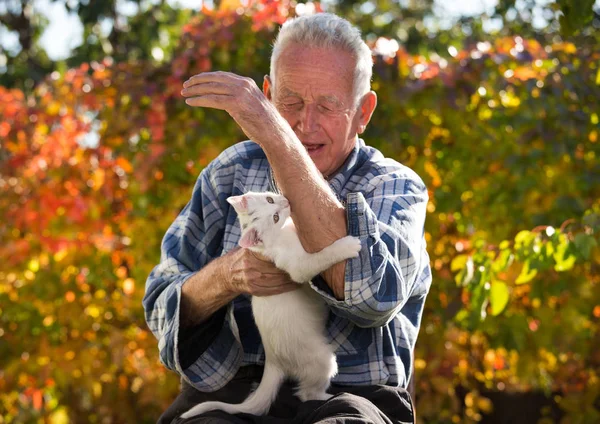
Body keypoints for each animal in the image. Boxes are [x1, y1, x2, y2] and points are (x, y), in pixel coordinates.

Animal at [180, 194, 360, 420]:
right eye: (275, 218)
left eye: (269, 199)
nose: (286, 203)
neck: (281, 234)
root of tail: (273, 362)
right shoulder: (297, 267)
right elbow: (322, 256)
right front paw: (348, 246)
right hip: (322, 360)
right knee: (306, 394)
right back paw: (330, 396)